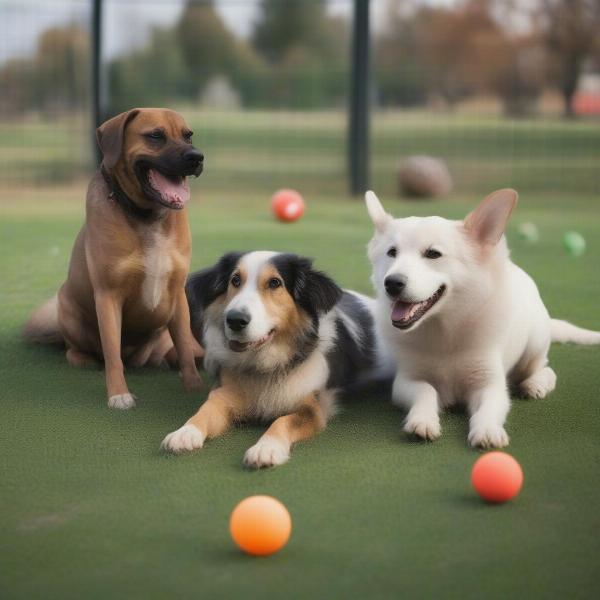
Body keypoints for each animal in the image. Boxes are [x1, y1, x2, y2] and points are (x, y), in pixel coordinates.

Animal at [23, 108, 205, 408]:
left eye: (188, 135)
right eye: (155, 136)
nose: (196, 157)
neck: (147, 216)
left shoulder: (178, 296)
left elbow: (186, 353)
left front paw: (193, 387)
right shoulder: (108, 297)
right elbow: (112, 354)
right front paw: (119, 394)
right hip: (69, 311)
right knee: (78, 352)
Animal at [162, 251, 394, 466]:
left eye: (275, 283)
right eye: (235, 280)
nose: (235, 320)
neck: (265, 366)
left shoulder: (312, 408)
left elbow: (283, 421)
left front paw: (266, 448)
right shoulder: (223, 395)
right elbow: (205, 410)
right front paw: (185, 432)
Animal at [366, 190, 600, 448]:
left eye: (433, 254)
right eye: (392, 253)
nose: (392, 283)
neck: (445, 333)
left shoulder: (490, 386)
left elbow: (487, 409)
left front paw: (487, 430)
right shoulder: (407, 381)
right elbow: (427, 392)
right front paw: (423, 420)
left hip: (533, 348)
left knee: (547, 370)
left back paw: (535, 384)